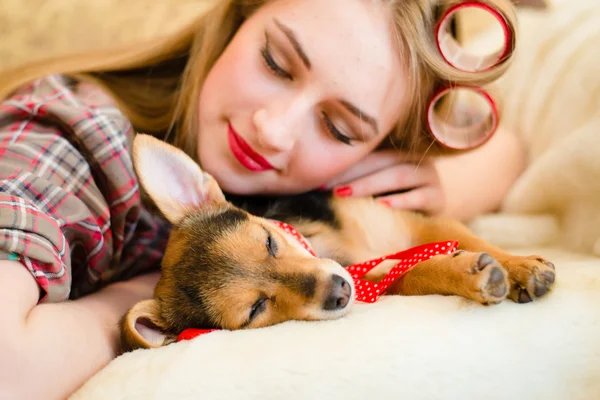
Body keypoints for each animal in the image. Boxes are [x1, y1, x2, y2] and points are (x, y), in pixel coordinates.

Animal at [119, 135, 556, 354]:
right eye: (256, 310)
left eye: (270, 241)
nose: (340, 292)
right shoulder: (378, 280)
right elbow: (418, 271)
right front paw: (468, 273)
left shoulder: (414, 221)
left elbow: (467, 238)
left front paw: (520, 266)